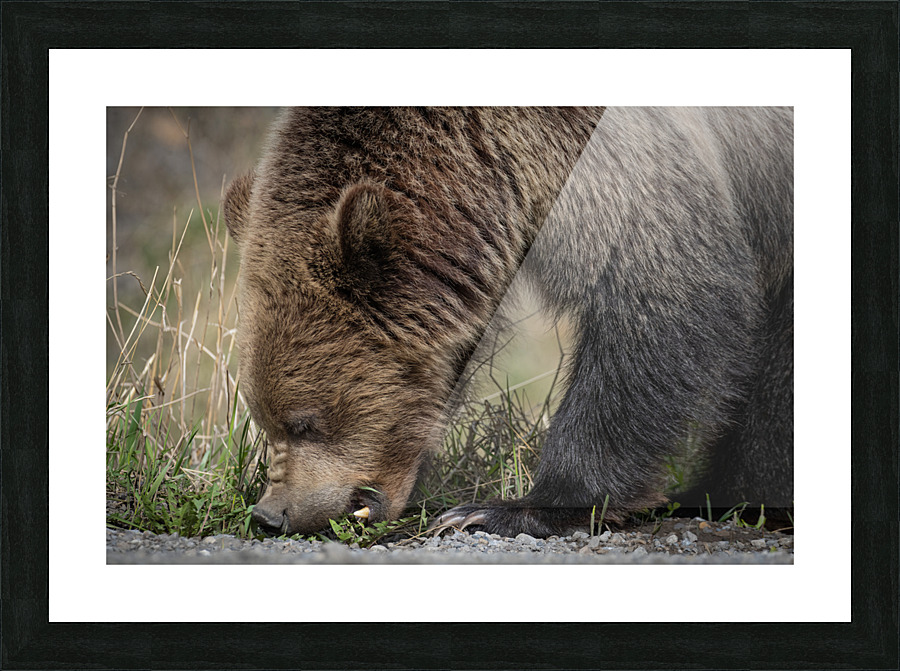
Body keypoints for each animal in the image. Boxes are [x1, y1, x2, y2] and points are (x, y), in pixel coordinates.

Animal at [224, 107, 793, 538]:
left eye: (305, 421)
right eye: (262, 416)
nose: (271, 514)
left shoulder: (616, 157)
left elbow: (663, 291)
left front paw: (510, 508)